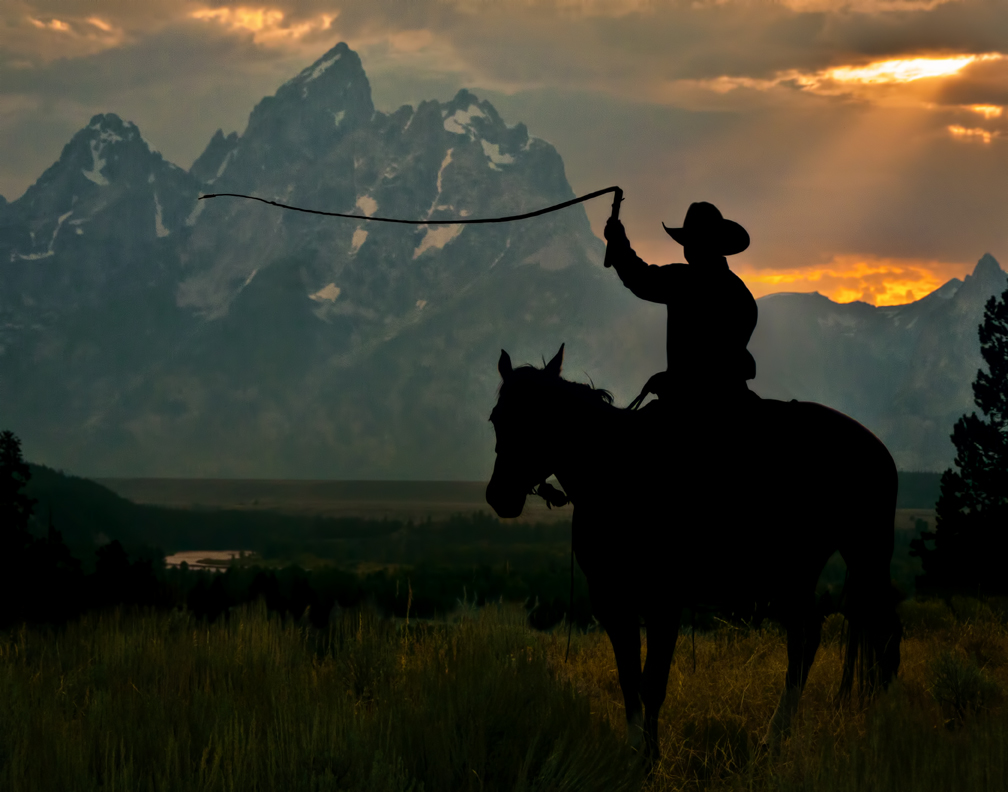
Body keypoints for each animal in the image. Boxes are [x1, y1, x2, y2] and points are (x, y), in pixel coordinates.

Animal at [483, 342, 903, 757]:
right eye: (496, 418)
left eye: (540, 419)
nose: (499, 496)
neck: (617, 473)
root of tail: (876, 447)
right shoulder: (612, 601)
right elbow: (628, 677)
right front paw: (635, 751)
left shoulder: (663, 602)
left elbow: (652, 682)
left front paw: (650, 758)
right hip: (798, 571)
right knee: (808, 637)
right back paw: (774, 738)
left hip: (865, 554)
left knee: (882, 636)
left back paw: (877, 728)